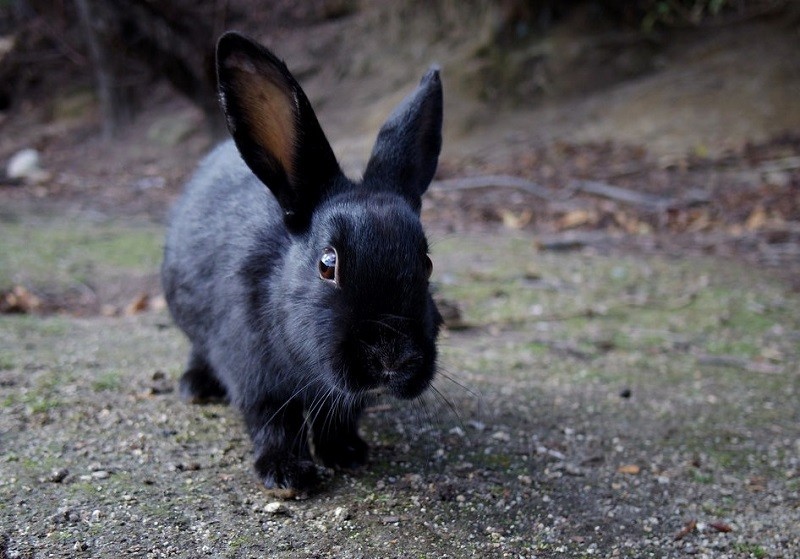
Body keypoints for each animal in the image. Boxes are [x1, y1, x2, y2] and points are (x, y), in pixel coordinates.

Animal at [159, 31, 440, 494]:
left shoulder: (340, 399)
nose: (393, 358)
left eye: (428, 263)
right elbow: (274, 425)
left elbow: (336, 419)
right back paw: (195, 388)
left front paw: (347, 454)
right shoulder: (256, 378)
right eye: (327, 264)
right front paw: (287, 474)